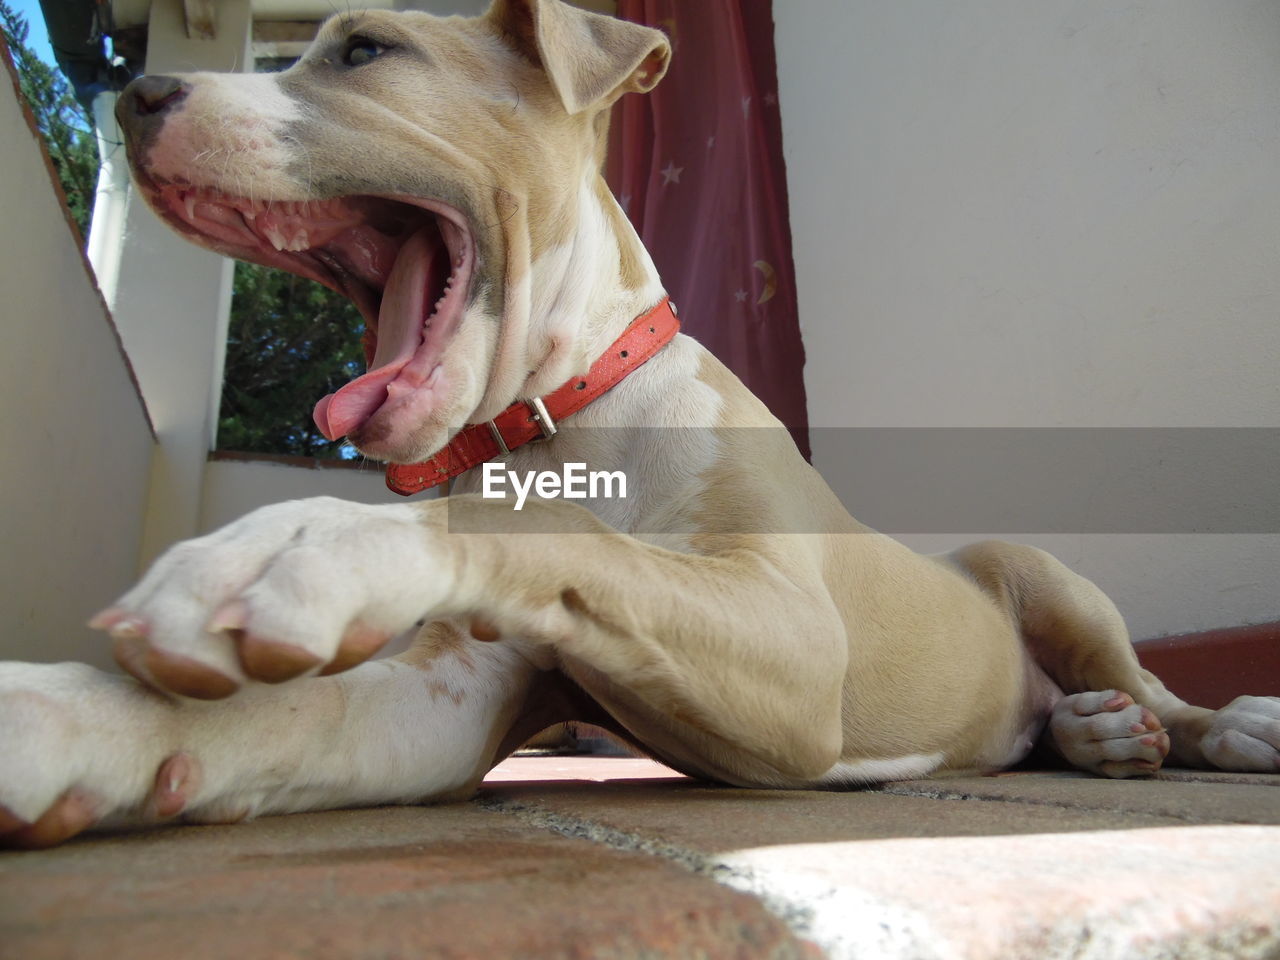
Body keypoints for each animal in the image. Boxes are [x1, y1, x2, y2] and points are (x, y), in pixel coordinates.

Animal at [2, 0, 1280, 849]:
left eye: (364, 48)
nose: (133, 98)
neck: (562, 420)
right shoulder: (444, 696)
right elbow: (290, 709)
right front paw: (62, 717)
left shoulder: (792, 641)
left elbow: (548, 534)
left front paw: (301, 539)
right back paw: (1096, 736)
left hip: (1043, 574)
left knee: (1161, 691)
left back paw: (1215, 729)